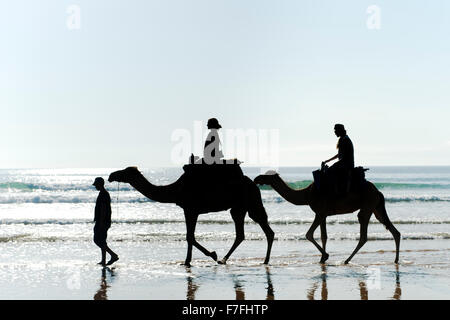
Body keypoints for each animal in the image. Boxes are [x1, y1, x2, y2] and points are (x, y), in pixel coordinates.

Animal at [109, 166, 274, 266]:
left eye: (125, 171)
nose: (111, 175)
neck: (175, 190)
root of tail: (254, 184)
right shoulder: (189, 210)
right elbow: (189, 236)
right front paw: (188, 261)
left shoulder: (190, 209)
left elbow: (190, 236)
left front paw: (212, 255)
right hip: (239, 207)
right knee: (244, 233)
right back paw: (227, 259)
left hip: (251, 202)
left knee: (264, 229)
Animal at [253, 171, 400, 264]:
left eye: (266, 175)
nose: (256, 178)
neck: (305, 195)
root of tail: (378, 191)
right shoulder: (323, 214)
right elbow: (324, 236)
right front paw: (323, 258)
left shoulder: (319, 213)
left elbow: (309, 234)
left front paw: (325, 255)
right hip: (376, 208)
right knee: (393, 230)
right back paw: (396, 259)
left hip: (367, 207)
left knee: (364, 234)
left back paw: (347, 260)